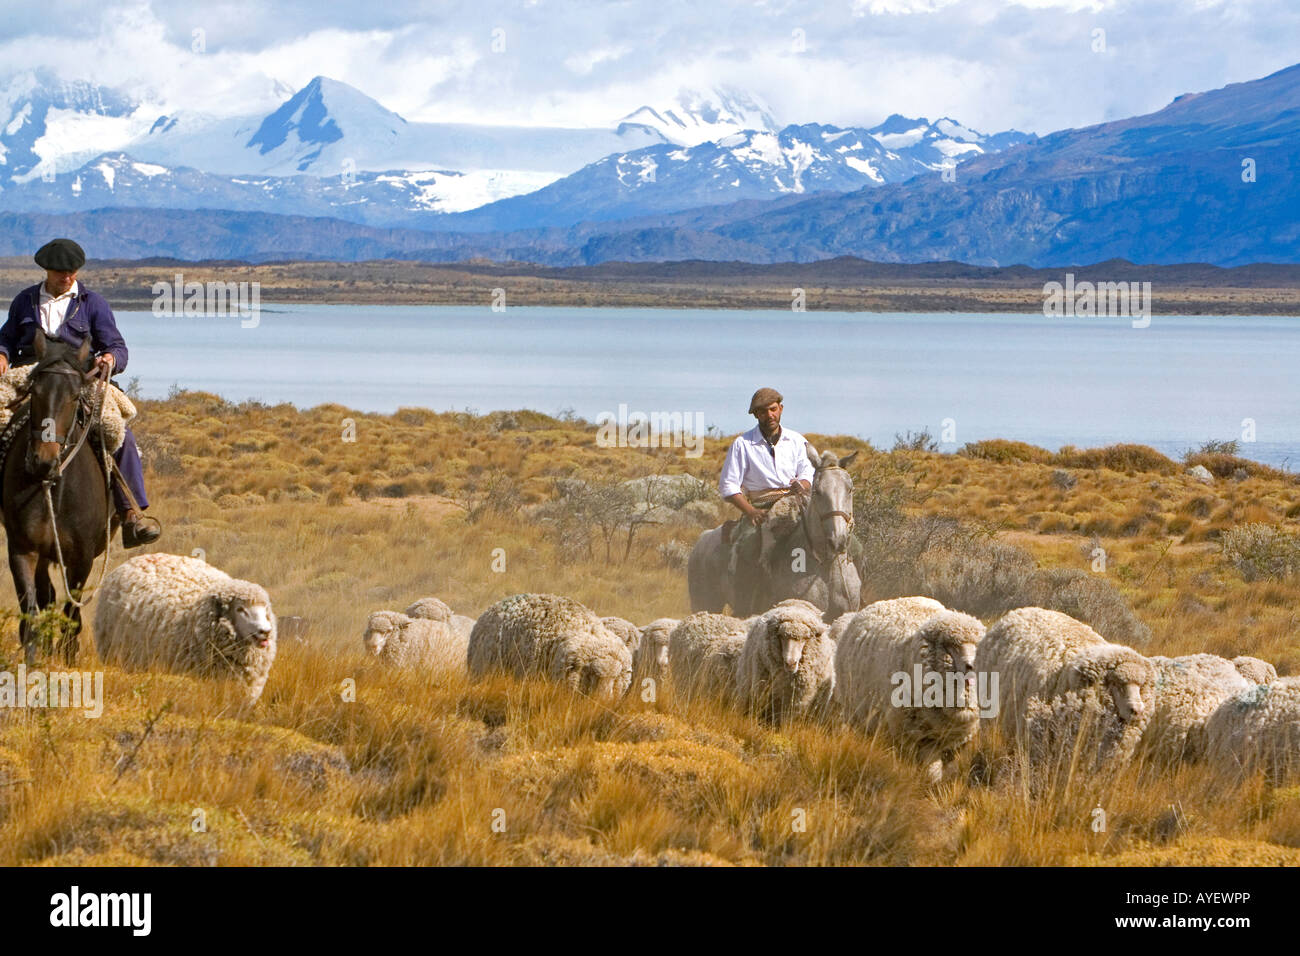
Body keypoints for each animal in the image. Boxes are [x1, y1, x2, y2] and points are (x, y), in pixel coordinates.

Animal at [2, 332, 115, 660]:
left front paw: (66, 655)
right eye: (34, 391)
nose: (43, 461)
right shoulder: (23, 549)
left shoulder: (82, 559)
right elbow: (31, 610)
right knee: (46, 596)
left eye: (76, 396)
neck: (53, 488)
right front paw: (33, 658)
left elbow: (70, 613)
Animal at [686, 447, 857, 621]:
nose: (837, 541)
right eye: (817, 491)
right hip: (705, 603)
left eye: (850, 489)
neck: (825, 567)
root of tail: (703, 537)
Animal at [832, 600, 982, 780]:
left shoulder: (954, 742)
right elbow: (931, 771)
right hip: (855, 713)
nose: (971, 665)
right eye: (952, 646)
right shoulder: (917, 737)